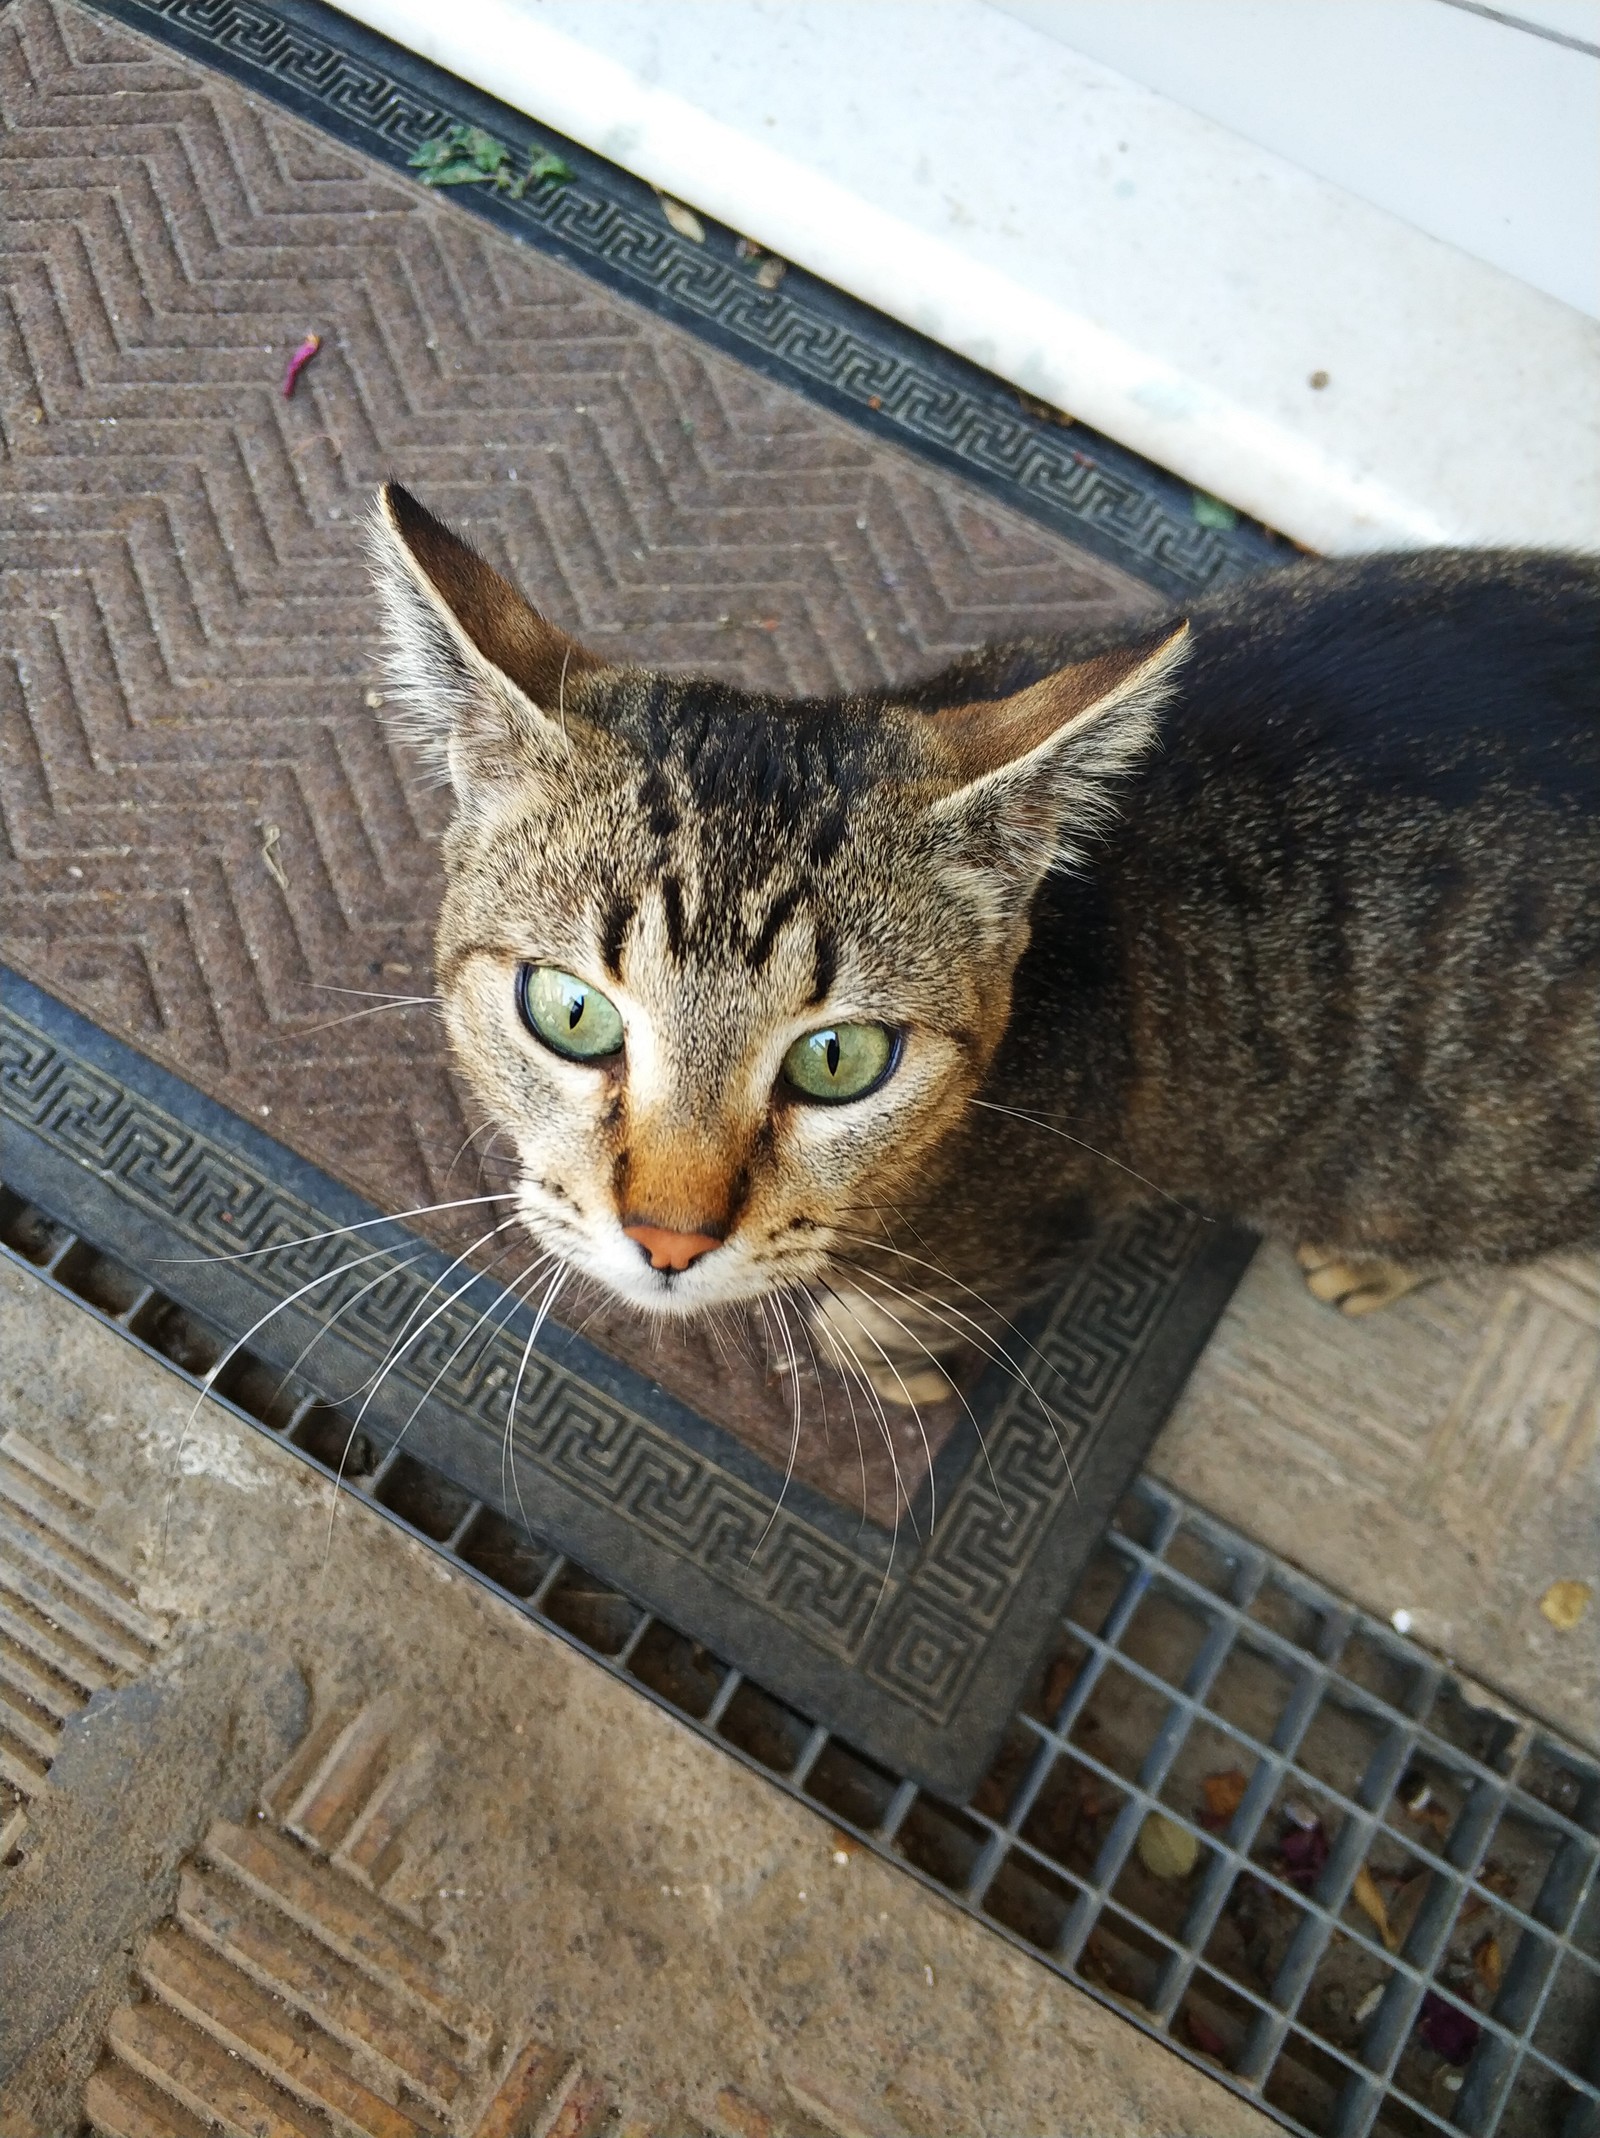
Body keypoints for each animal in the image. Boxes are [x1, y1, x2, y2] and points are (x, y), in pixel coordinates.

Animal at [365, 485, 1600, 1402]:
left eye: (838, 1060)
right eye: (570, 1013)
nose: (667, 1238)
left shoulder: (1026, 1228)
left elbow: (891, 1320)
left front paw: (892, 1364)